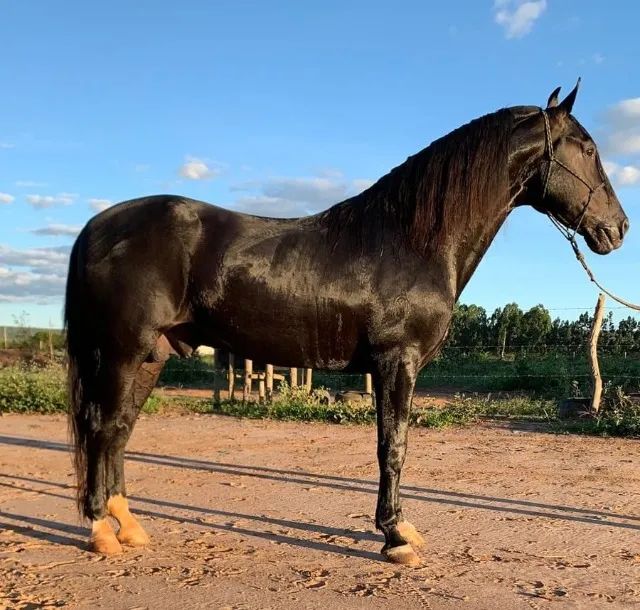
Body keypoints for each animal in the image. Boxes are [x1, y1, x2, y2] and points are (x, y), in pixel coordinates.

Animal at [65, 81, 628, 566]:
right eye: (587, 148)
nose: (618, 228)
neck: (411, 240)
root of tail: (97, 226)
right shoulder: (396, 363)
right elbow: (392, 447)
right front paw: (396, 536)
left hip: (152, 354)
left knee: (117, 432)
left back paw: (128, 526)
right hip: (122, 352)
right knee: (100, 429)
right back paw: (100, 532)